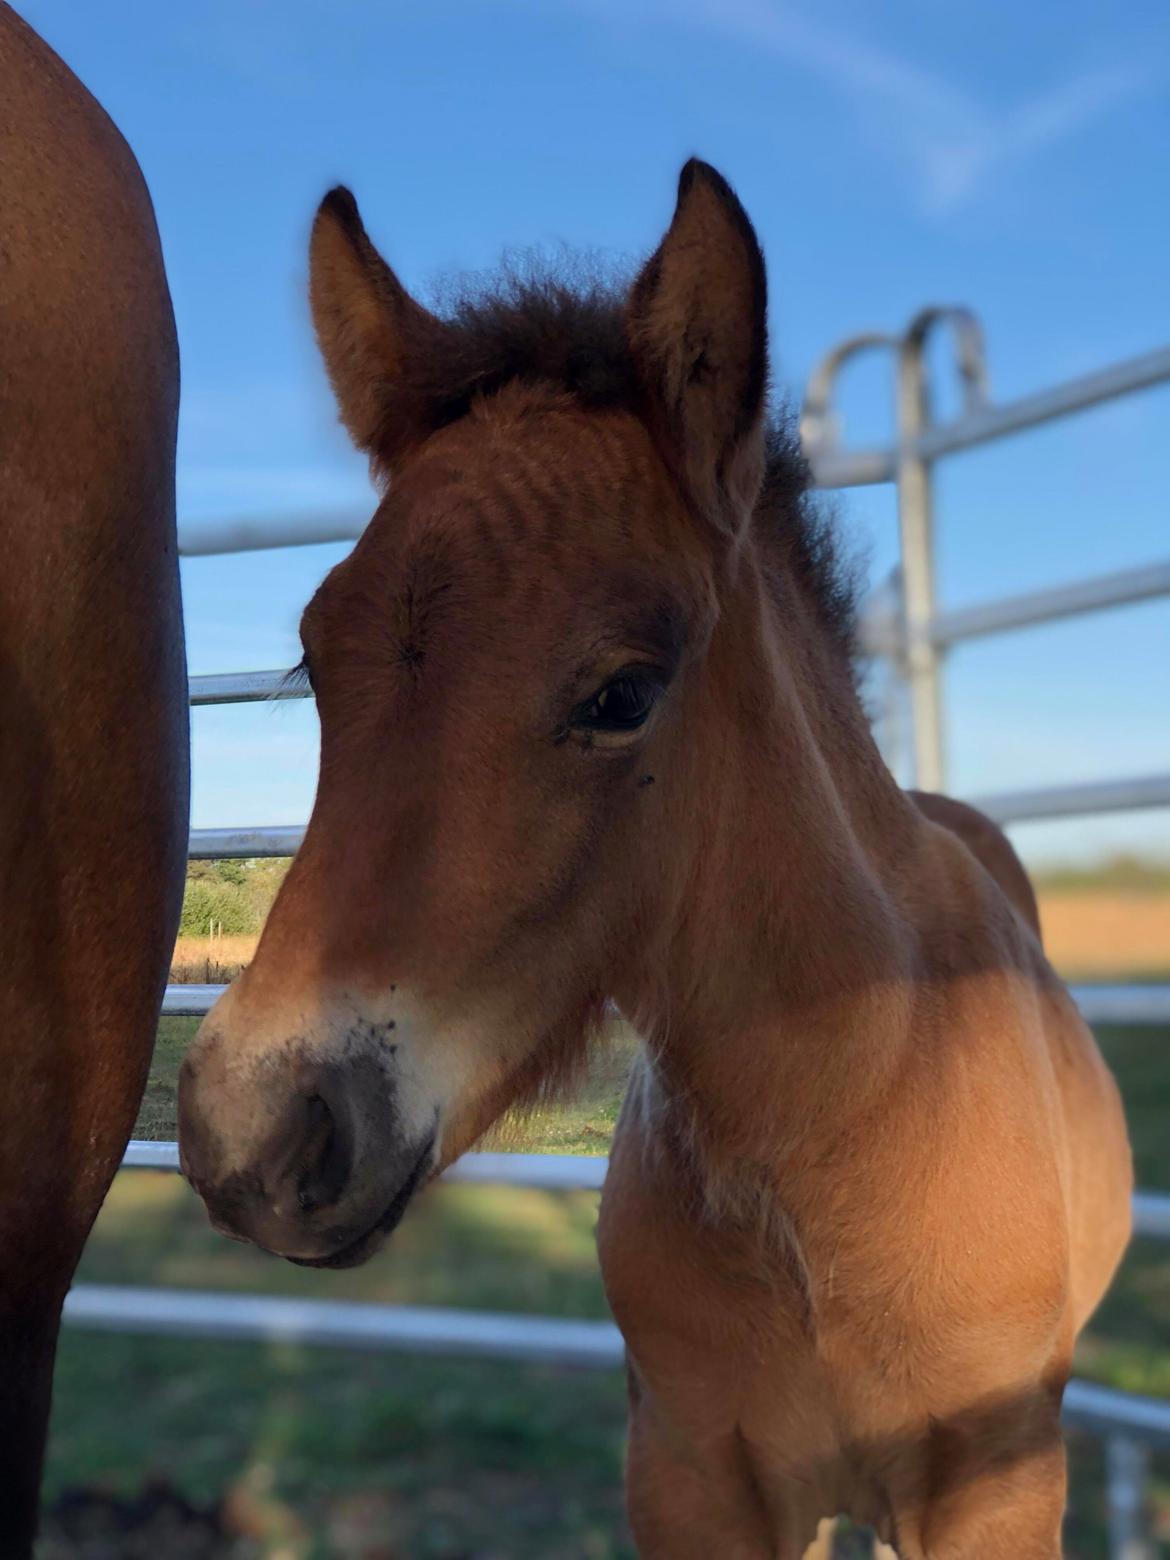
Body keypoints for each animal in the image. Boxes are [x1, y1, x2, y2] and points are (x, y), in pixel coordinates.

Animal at [180, 161, 1135, 1560]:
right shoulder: (686, 1475)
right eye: (315, 654)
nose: (254, 1131)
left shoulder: (997, 1488)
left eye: (623, 692)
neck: (844, 1136)